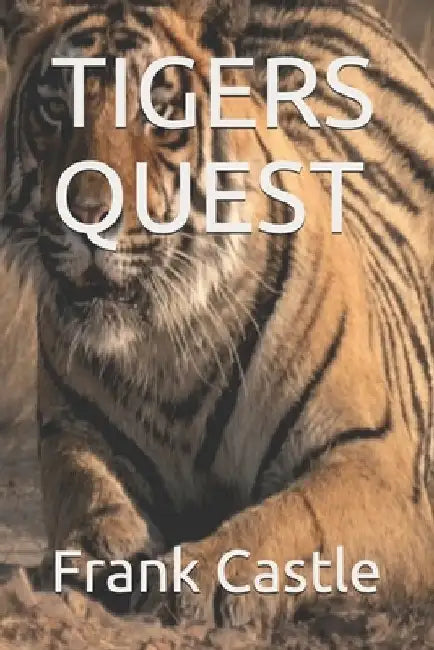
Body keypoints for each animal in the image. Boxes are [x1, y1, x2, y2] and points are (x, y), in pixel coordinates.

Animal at [0, 0, 433, 629]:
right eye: (56, 110)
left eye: (157, 112)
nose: (86, 216)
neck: (164, 339)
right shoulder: (71, 429)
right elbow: (84, 490)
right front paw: (101, 554)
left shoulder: (373, 461)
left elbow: (296, 514)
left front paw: (205, 575)